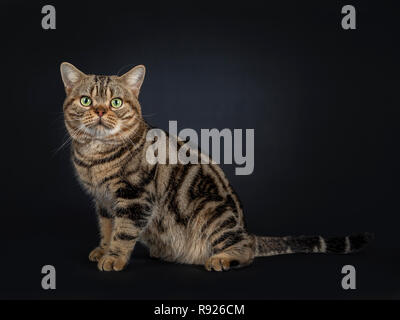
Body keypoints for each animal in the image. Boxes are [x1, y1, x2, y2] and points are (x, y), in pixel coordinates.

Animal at [59, 63, 372, 272]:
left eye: (116, 102)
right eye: (86, 100)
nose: (100, 110)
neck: (94, 157)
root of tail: (247, 230)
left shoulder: (135, 198)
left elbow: (123, 232)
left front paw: (114, 258)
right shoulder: (103, 202)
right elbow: (107, 228)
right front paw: (103, 250)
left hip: (211, 212)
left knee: (246, 251)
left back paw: (221, 259)